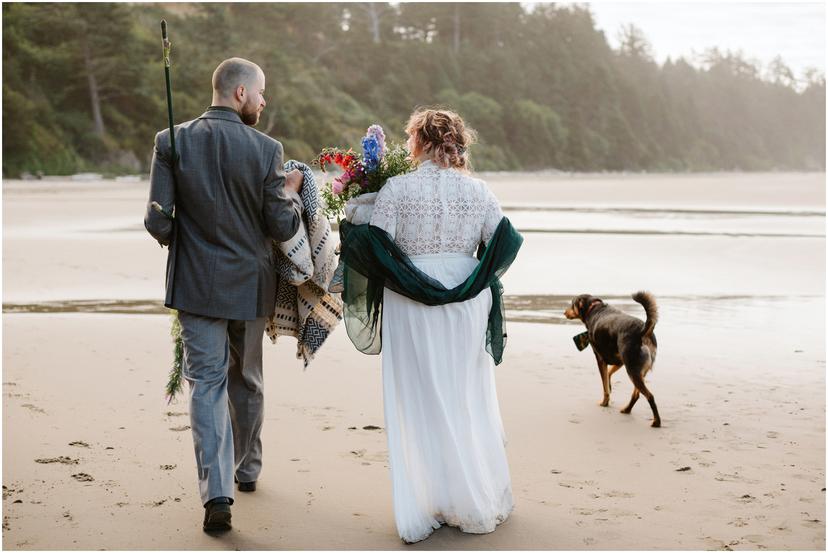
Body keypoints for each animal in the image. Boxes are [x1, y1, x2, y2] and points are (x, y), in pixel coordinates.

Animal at [564, 292, 660, 430]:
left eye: (572, 304)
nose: (564, 312)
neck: (593, 308)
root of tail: (642, 331)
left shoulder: (600, 358)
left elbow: (604, 386)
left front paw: (605, 402)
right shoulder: (619, 360)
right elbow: (608, 375)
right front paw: (609, 385)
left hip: (632, 370)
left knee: (650, 396)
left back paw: (657, 422)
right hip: (637, 371)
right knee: (636, 394)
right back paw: (627, 409)